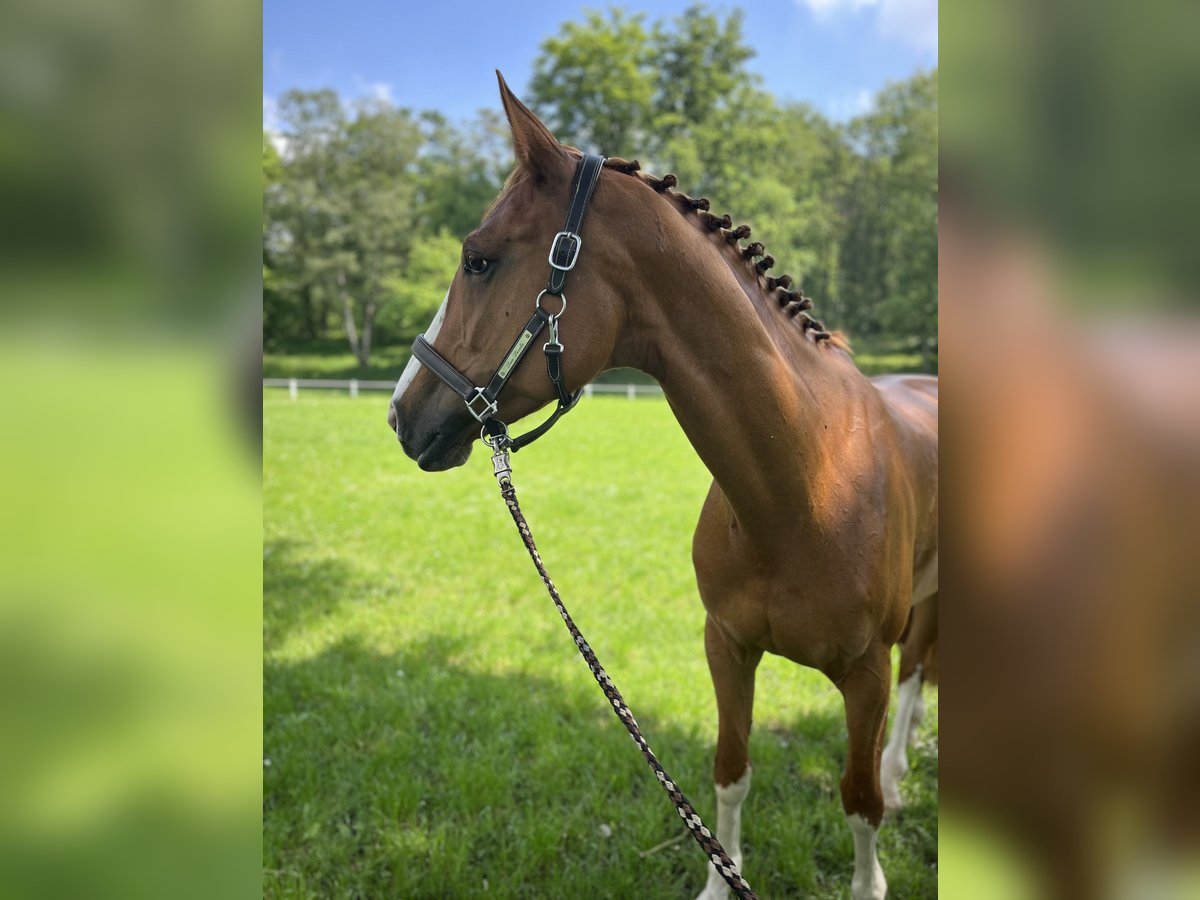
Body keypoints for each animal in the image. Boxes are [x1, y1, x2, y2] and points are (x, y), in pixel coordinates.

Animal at [386, 74, 936, 897]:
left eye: (477, 260)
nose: (400, 412)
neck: (806, 489)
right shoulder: (726, 647)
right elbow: (731, 771)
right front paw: (718, 881)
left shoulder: (865, 677)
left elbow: (859, 800)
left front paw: (870, 877)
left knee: (914, 688)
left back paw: (904, 777)